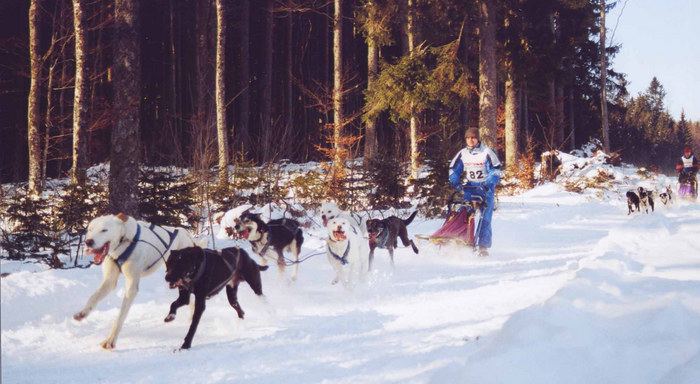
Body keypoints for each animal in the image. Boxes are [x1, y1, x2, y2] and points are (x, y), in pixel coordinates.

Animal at [73, 214, 200, 350]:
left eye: (104, 230)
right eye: (90, 230)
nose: (88, 242)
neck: (123, 242)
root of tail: (184, 232)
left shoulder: (131, 286)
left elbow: (121, 315)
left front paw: (111, 340)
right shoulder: (110, 281)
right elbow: (94, 297)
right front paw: (82, 313)